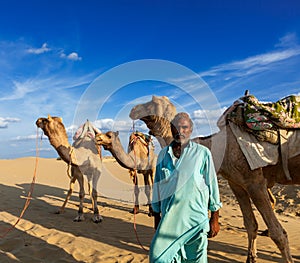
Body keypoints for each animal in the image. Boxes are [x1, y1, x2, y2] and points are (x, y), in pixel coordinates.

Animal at [129, 95, 300, 263]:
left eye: (151, 102)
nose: (133, 109)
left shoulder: (255, 183)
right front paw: (251, 257)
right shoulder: (237, 184)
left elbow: (278, 233)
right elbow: (250, 224)